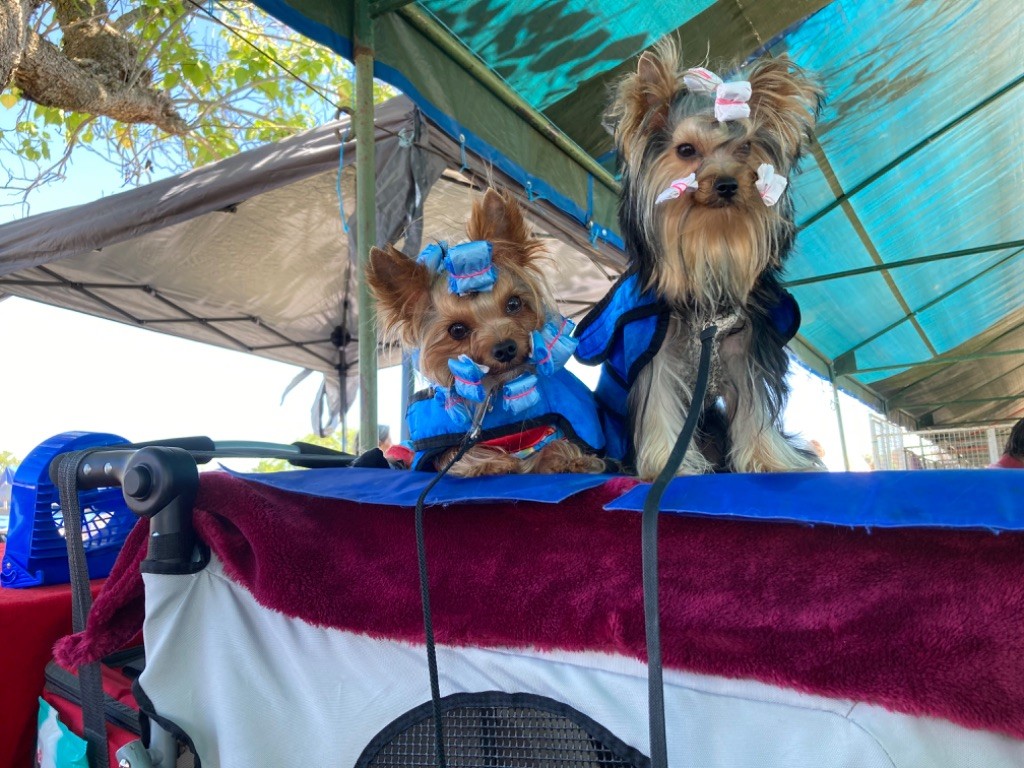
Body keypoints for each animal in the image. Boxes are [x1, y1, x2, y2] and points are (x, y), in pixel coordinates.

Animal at [368, 188, 606, 475]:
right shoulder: (436, 454)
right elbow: (456, 455)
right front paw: (492, 462)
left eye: (513, 303)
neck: (497, 387)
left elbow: (558, 444)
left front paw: (566, 459)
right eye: (457, 329)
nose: (505, 348)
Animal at [577, 40, 823, 481]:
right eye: (686, 151)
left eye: (745, 148)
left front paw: (768, 459)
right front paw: (665, 466)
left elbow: (754, 405)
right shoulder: (654, 349)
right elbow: (659, 404)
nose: (726, 183)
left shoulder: (745, 349)